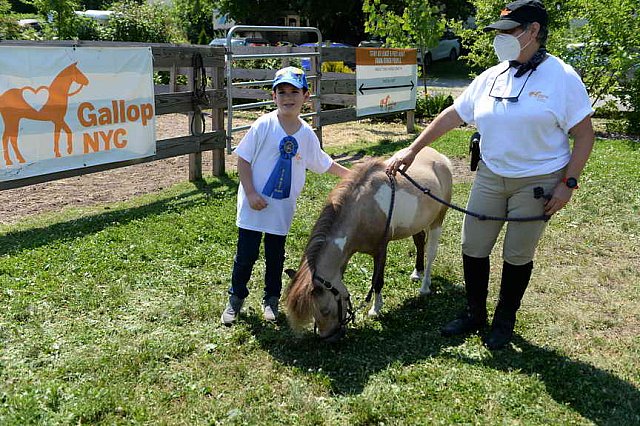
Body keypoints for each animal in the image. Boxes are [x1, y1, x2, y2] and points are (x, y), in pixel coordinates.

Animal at [284, 148, 456, 342]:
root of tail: (441, 158)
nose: (330, 339)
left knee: (431, 252)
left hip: (437, 220)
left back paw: (425, 286)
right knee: (419, 242)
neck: (362, 211)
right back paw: (417, 273)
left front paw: (375, 309)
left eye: (325, 310)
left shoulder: (380, 250)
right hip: (417, 223)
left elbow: (377, 281)